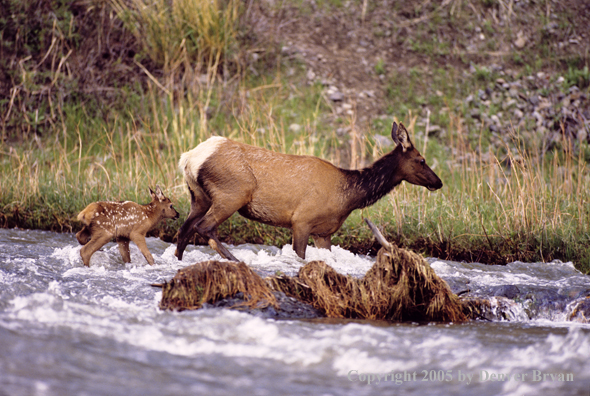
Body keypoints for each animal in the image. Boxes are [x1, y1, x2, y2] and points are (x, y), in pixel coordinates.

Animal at [176, 122, 444, 262]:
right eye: (421, 160)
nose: (439, 182)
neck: (349, 196)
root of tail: (188, 157)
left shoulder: (324, 232)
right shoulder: (301, 220)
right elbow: (300, 255)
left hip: (198, 196)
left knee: (184, 229)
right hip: (232, 193)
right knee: (204, 227)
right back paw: (235, 260)